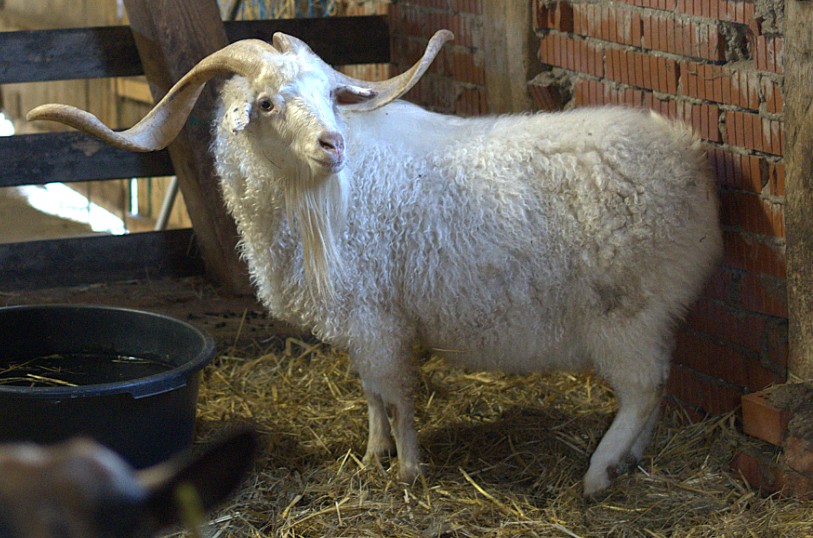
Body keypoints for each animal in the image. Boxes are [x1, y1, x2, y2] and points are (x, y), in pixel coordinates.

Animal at [27, 29, 722, 496]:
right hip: (652, 313)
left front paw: (410, 470)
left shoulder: (380, 319)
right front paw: (370, 458)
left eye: (332, 95)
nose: (332, 144)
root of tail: (690, 159)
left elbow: (399, 395)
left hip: (627, 311)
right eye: (267, 103)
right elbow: (369, 396)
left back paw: (600, 473)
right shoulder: (360, 324)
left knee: (642, 388)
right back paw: (631, 460)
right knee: (657, 386)